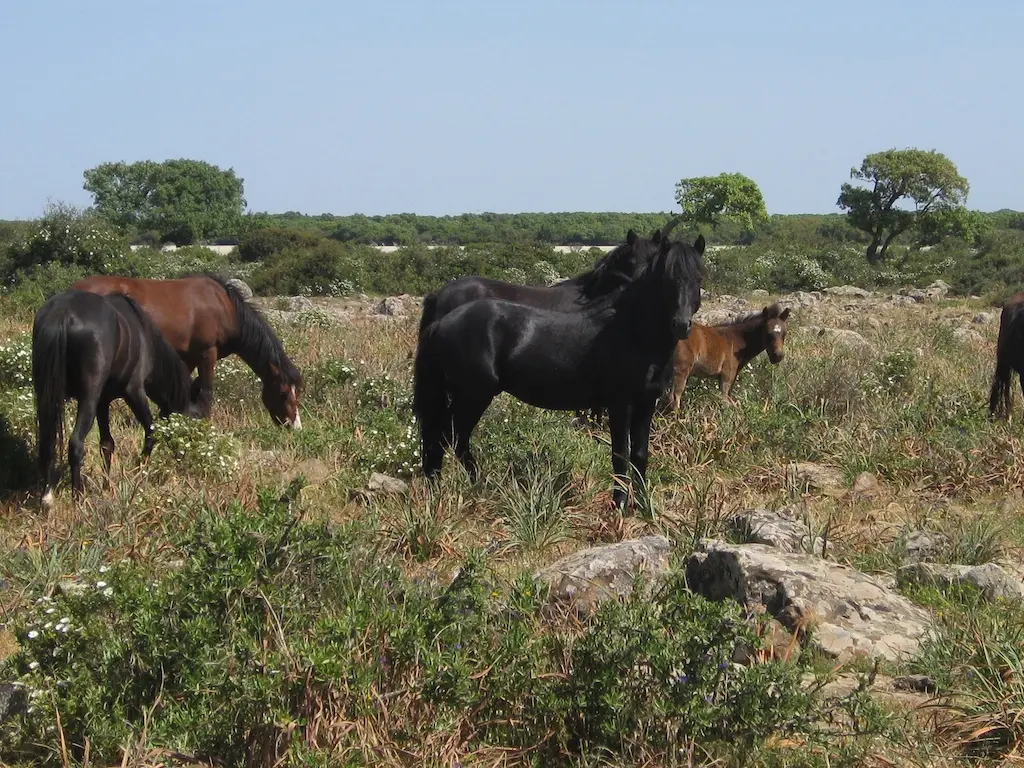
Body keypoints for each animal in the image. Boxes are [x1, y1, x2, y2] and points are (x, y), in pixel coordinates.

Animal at [32, 288, 195, 505]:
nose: (181, 456)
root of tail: (63, 312)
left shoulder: (103, 402)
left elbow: (107, 444)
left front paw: (107, 486)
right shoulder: (134, 392)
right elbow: (150, 431)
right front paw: (139, 472)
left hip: (47, 397)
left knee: (47, 443)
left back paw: (47, 496)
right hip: (88, 400)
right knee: (75, 444)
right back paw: (78, 497)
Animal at [72, 274, 303, 430]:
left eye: (297, 392)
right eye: (283, 393)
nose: (295, 426)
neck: (224, 306)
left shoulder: (189, 358)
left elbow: (186, 388)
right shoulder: (207, 354)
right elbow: (206, 392)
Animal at [413, 234, 704, 512]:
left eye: (698, 278)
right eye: (667, 278)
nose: (681, 325)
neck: (632, 332)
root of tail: (443, 322)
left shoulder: (646, 403)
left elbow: (640, 454)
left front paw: (644, 505)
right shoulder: (620, 404)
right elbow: (621, 454)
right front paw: (619, 504)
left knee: (444, 438)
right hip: (472, 397)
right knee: (452, 438)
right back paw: (475, 487)